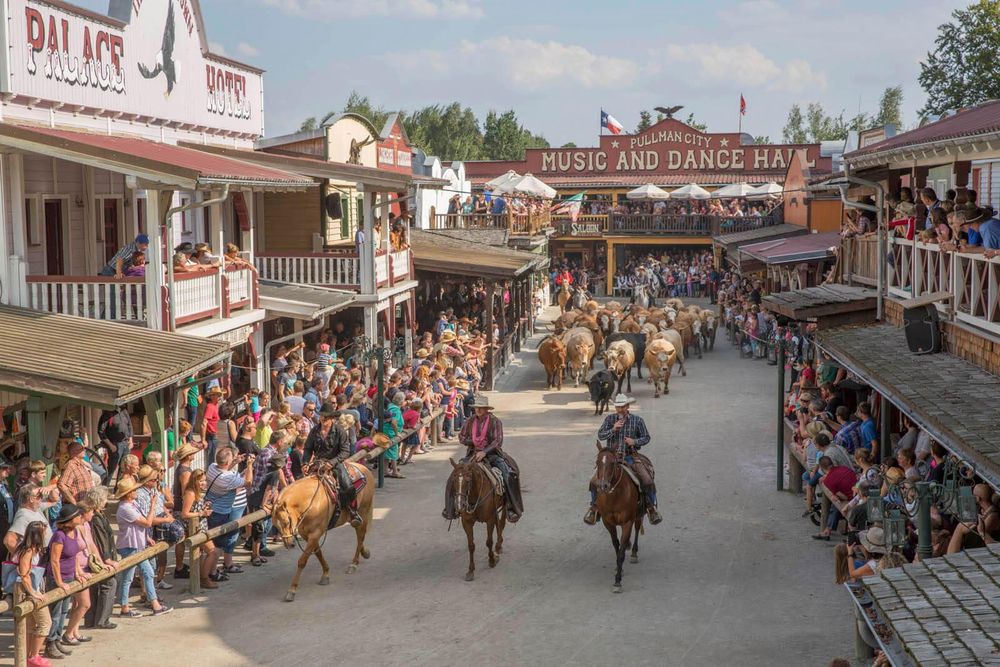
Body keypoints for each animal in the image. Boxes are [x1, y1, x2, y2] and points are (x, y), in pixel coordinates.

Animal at [272, 462, 376, 604]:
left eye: (286, 522)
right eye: (275, 525)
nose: (289, 544)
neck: (311, 501)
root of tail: (364, 468)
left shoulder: (315, 533)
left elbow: (302, 561)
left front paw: (292, 590)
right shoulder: (308, 535)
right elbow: (318, 553)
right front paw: (326, 574)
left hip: (363, 512)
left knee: (360, 536)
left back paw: (354, 564)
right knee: (360, 536)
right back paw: (365, 553)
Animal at [588, 444, 644, 596]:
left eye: (612, 463)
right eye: (597, 463)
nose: (603, 486)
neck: (615, 496)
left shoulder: (627, 523)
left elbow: (621, 553)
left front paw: (617, 582)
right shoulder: (608, 522)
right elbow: (616, 545)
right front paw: (619, 570)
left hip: (638, 514)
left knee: (637, 528)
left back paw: (634, 552)